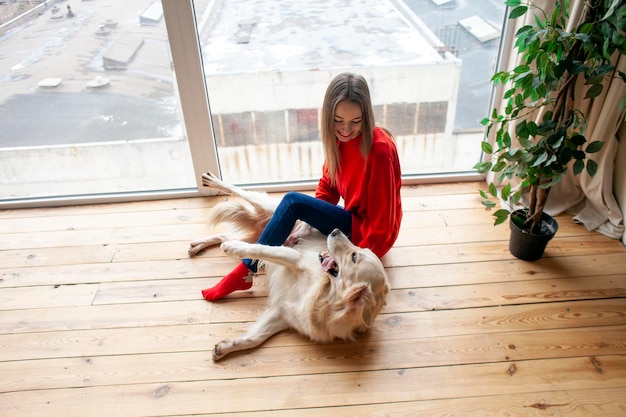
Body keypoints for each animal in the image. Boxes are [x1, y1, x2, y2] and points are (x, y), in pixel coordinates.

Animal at [188, 171, 388, 360]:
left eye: (354, 255)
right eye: (358, 249)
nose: (336, 230)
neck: (326, 298)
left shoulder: (285, 313)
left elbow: (255, 338)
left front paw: (224, 347)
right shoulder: (295, 257)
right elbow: (260, 250)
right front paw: (233, 249)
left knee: (225, 236)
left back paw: (197, 246)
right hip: (274, 206)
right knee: (242, 194)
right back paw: (212, 182)